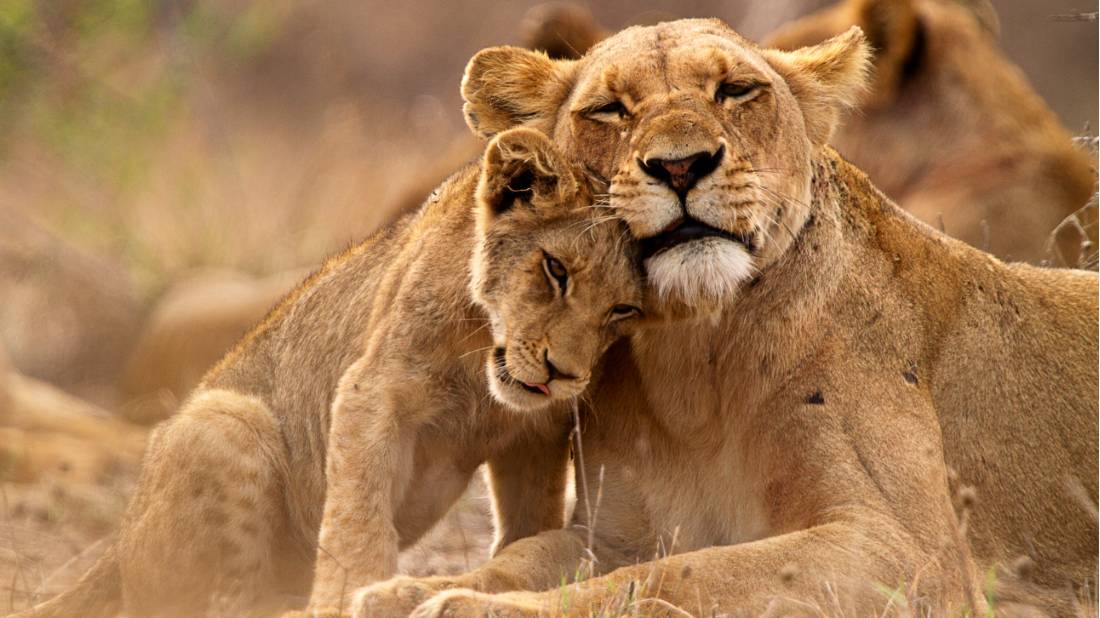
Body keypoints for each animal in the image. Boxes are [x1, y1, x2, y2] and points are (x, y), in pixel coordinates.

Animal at [15, 128, 645, 617]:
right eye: (555, 269)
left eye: (623, 310)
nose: (562, 374)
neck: (483, 364)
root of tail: (116, 546)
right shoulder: (373, 390)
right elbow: (357, 517)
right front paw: (350, 597)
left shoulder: (535, 433)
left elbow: (529, 522)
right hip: (225, 420)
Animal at [351, 19, 1098, 617]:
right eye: (609, 109)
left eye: (736, 91)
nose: (681, 165)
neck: (694, 361)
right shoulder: (612, 534)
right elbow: (524, 556)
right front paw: (404, 590)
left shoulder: (913, 554)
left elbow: (681, 575)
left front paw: (466, 606)